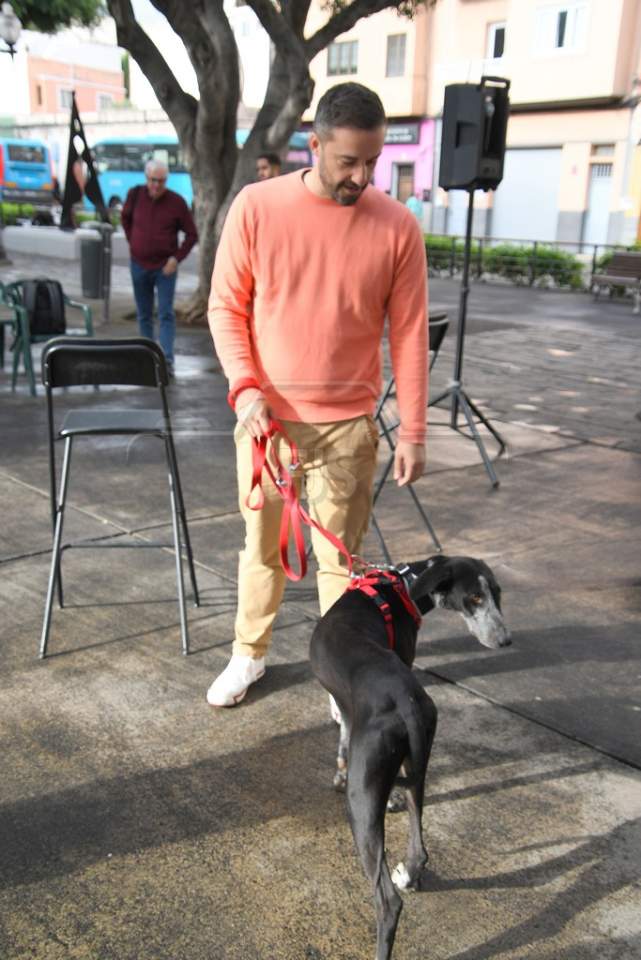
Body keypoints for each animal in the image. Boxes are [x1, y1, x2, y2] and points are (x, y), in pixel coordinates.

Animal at [309, 554, 510, 960]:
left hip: (362, 803)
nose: (504, 640)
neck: (400, 585)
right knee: (419, 840)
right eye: (477, 596)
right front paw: (339, 773)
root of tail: (405, 701)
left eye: (495, 595)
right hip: (418, 759)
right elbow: (342, 738)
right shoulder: (350, 711)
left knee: (387, 903)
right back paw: (411, 872)